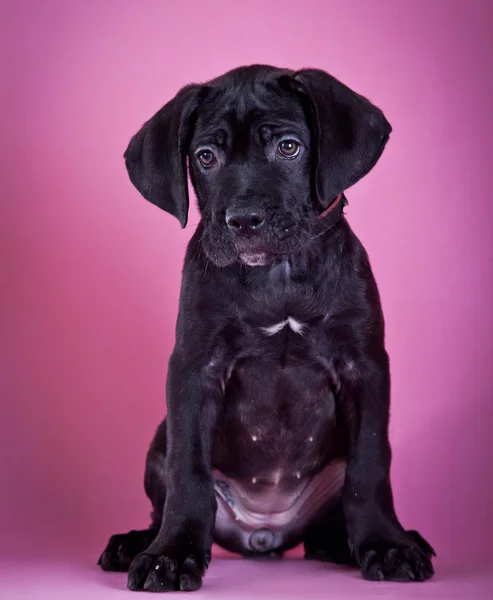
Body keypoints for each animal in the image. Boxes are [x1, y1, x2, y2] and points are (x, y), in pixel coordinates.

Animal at [97, 64, 434, 592]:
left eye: (288, 147)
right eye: (206, 157)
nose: (243, 220)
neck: (278, 275)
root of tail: (265, 533)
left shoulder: (365, 367)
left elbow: (369, 469)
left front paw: (386, 544)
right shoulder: (195, 369)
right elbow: (188, 473)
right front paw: (171, 555)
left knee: (325, 530)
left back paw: (364, 542)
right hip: (158, 439)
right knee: (166, 497)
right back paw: (137, 543)